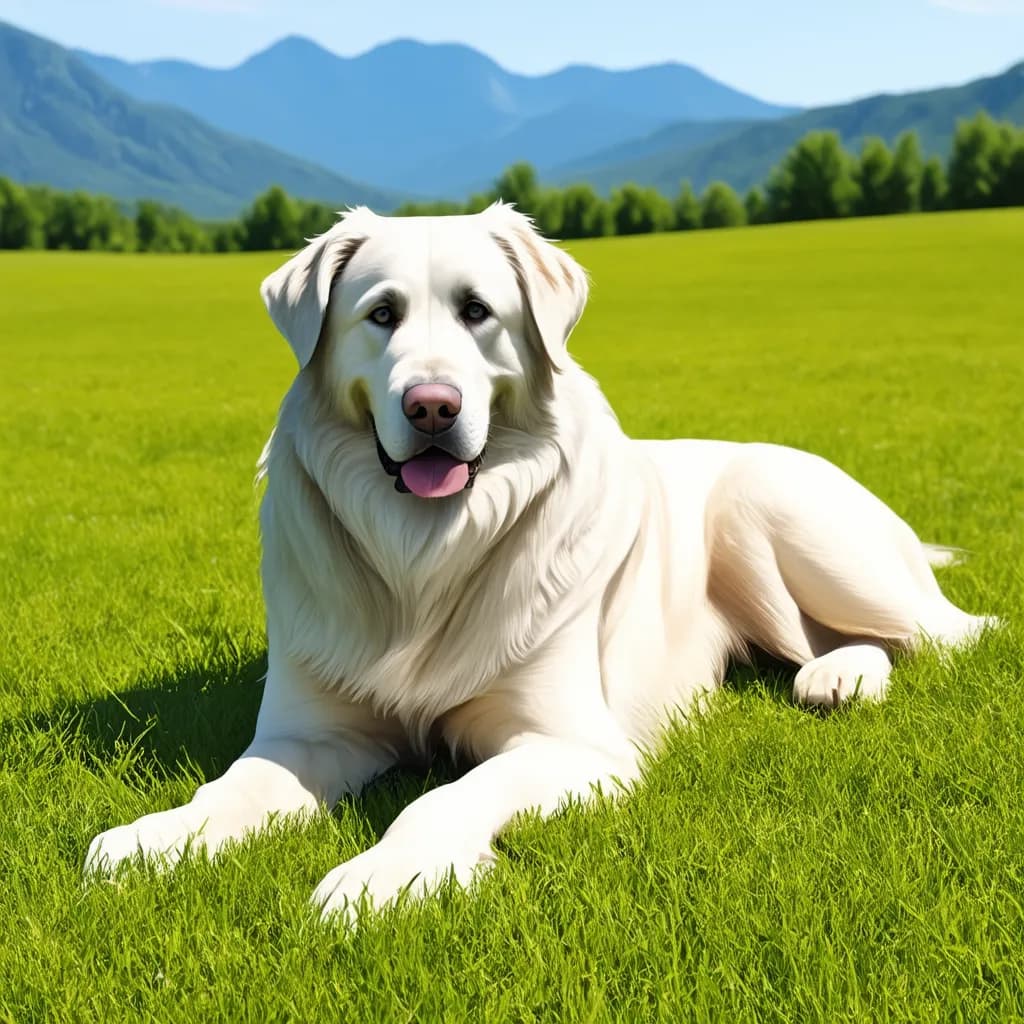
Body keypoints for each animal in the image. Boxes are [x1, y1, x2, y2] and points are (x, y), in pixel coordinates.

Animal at [83, 203, 995, 925]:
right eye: (381, 315)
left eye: (477, 311)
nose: (432, 406)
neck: (425, 549)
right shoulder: (313, 732)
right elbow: (234, 788)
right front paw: (156, 837)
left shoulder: (572, 745)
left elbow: (448, 795)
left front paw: (381, 880)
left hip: (765, 505)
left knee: (946, 632)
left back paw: (842, 677)